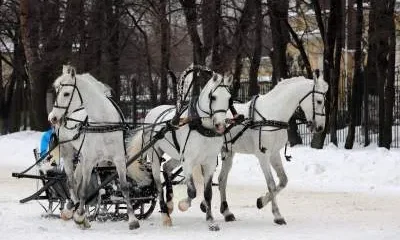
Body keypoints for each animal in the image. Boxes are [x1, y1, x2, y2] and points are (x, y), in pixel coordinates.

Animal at [48, 65, 143, 231]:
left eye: (66, 93)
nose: (52, 117)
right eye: (57, 91)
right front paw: (80, 217)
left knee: (77, 179)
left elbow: (124, 187)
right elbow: (85, 189)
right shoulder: (90, 161)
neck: (103, 122)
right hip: (68, 151)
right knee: (72, 182)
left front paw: (132, 220)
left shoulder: (119, 160)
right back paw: (73, 208)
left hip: (82, 157)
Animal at [126, 69, 233, 231]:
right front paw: (183, 205)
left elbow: (207, 193)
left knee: (167, 167)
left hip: (177, 156)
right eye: (213, 97)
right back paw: (165, 215)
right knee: (158, 185)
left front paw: (211, 221)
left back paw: (169, 204)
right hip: (155, 155)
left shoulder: (209, 163)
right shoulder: (188, 161)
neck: (201, 127)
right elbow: (192, 191)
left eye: (229, 98)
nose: (220, 125)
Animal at [208, 75, 330, 225]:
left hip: (228, 153)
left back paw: (226, 212)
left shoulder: (274, 154)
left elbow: (283, 181)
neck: (273, 113)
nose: (320, 127)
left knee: (221, 179)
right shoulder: (263, 156)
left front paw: (261, 201)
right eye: (319, 101)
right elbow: (271, 184)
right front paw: (277, 215)